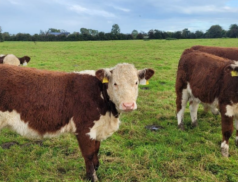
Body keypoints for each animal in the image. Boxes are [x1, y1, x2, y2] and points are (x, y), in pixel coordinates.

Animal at [0, 62, 154, 181]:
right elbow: (89, 154)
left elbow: (96, 151)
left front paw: (95, 170)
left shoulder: (97, 128)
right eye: (115, 83)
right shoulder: (84, 129)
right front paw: (92, 177)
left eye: (136, 83)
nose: (128, 105)